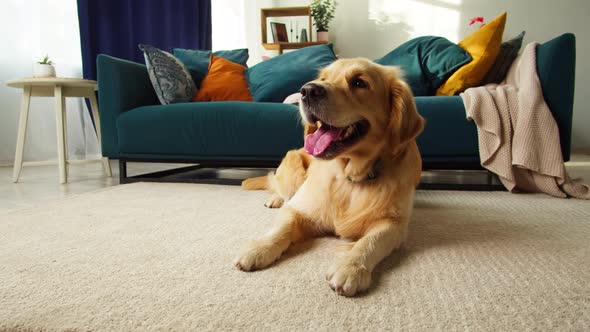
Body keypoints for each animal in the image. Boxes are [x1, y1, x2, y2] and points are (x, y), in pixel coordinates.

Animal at [236, 58, 426, 296]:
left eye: (359, 82)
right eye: (323, 78)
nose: (308, 91)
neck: (351, 177)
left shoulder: (394, 223)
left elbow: (369, 242)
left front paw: (351, 267)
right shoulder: (299, 208)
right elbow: (281, 228)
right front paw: (259, 248)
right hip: (293, 167)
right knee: (280, 189)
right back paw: (275, 199)